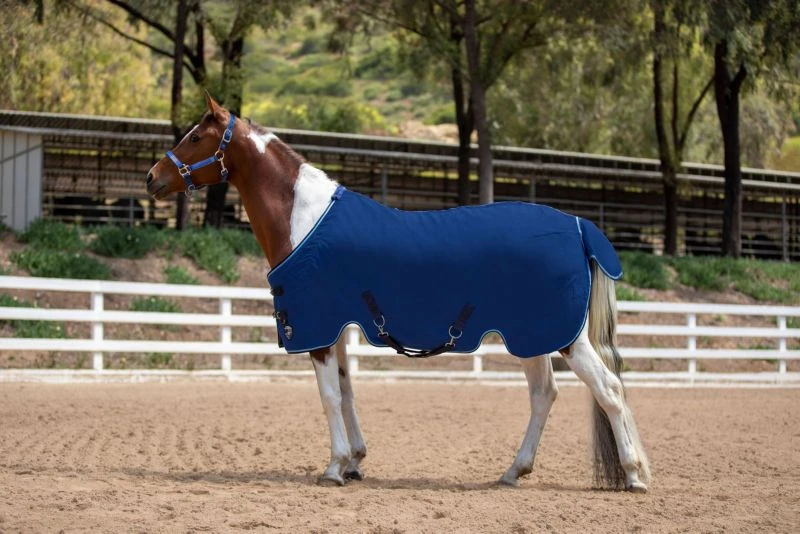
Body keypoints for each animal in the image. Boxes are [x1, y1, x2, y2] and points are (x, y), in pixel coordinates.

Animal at [146, 94, 651, 492]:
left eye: (196, 137)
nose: (153, 178)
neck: (304, 218)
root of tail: (578, 226)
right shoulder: (338, 327)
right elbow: (347, 393)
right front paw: (354, 462)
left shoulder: (318, 328)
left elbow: (329, 397)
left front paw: (333, 467)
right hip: (533, 337)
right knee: (545, 395)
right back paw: (514, 472)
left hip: (563, 337)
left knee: (608, 390)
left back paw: (632, 475)